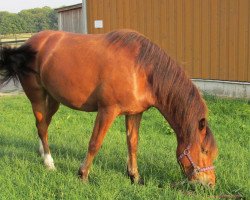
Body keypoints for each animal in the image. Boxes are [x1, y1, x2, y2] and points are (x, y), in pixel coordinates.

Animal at [0, 30, 218, 188]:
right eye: (204, 150)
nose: (209, 184)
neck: (141, 70)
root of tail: (28, 44)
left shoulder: (134, 113)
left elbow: (132, 144)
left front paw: (135, 177)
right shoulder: (107, 111)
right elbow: (95, 143)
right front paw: (83, 175)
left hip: (53, 99)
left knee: (43, 125)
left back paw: (42, 153)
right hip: (37, 96)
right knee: (41, 126)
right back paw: (49, 162)